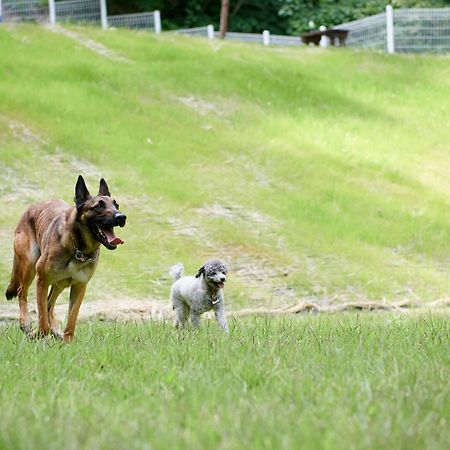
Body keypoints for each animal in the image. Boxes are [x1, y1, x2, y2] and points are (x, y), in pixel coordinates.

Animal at [4, 176, 126, 342]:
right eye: (99, 206)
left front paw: (67, 341)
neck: (78, 247)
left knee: (49, 303)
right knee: (22, 291)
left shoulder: (79, 287)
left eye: (116, 205)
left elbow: (71, 319)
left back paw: (54, 330)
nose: (121, 217)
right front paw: (40, 334)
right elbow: (42, 319)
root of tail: (30, 208)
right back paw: (26, 323)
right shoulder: (42, 281)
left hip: (59, 284)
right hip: (30, 266)